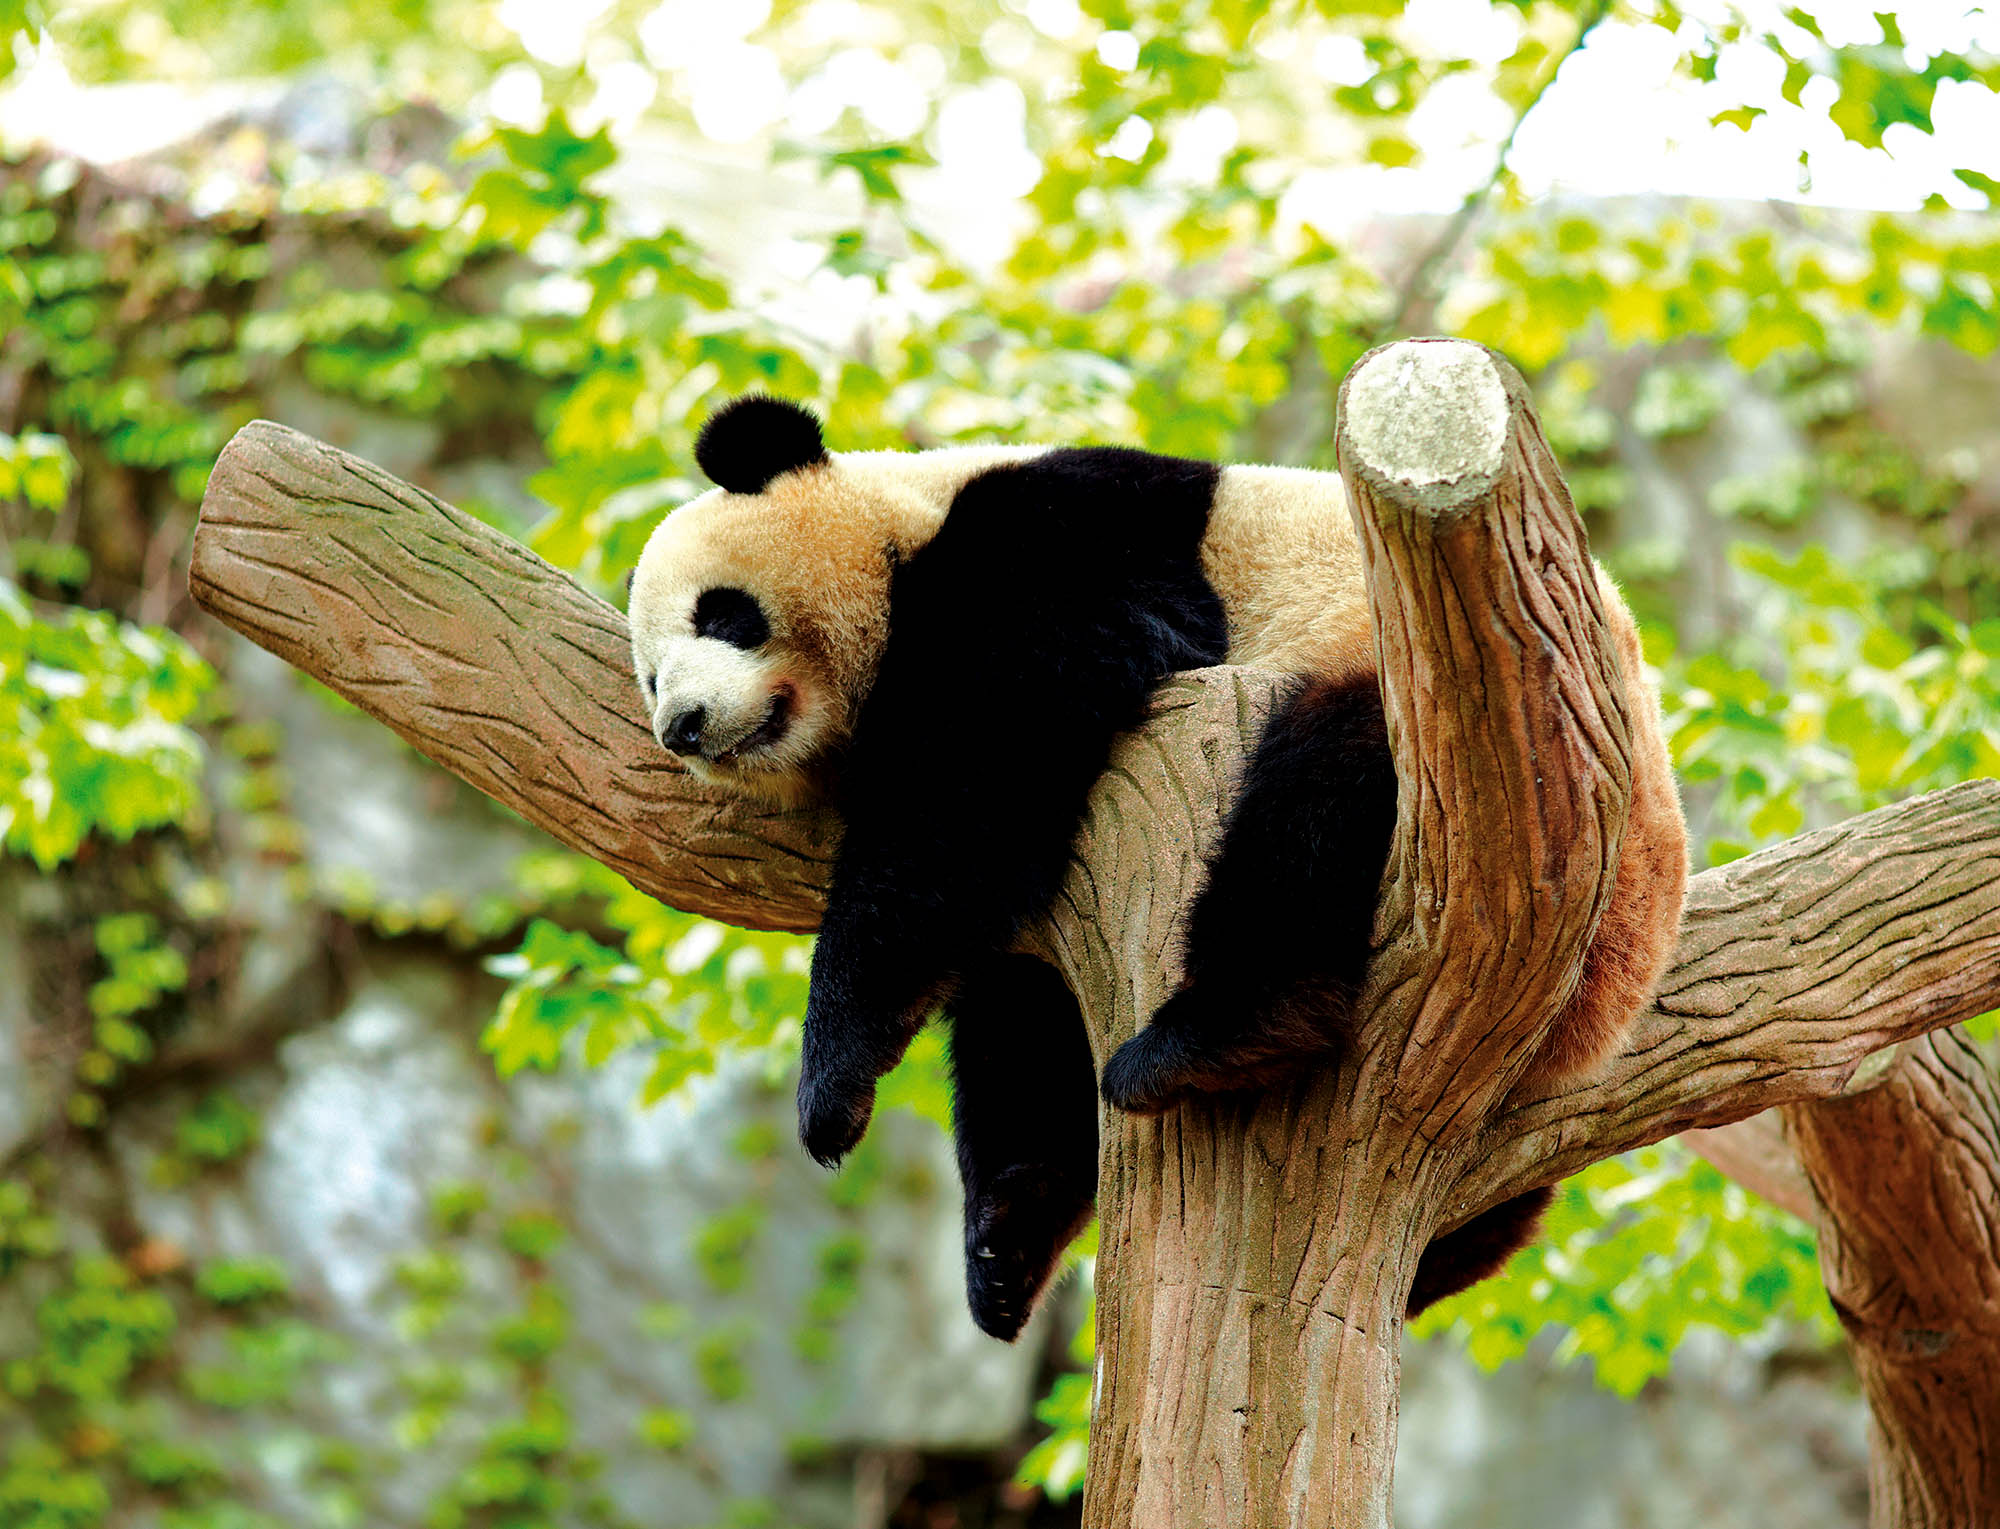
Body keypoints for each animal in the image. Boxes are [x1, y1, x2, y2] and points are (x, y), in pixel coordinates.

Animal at [627, 394, 1687, 1341]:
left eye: (722, 616)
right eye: (648, 674)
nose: (683, 725)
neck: (907, 523)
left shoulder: (1065, 537)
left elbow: (988, 752)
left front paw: (834, 1082)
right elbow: (1019, 1004)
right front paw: (1007, 1237)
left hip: (1472, 734)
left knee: (1318, 798)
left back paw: (1217, 1036)